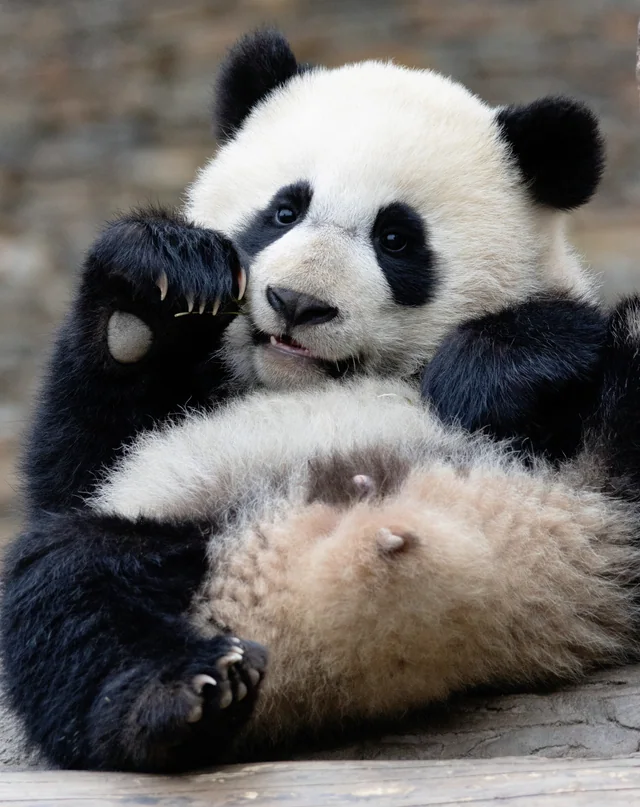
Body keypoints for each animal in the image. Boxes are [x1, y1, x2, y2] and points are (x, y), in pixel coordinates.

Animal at [3, 28, 640, 774]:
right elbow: (75, 467)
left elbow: (559, 332)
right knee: (68, 585)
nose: (297, 303)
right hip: (184, 526)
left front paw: (482, 370)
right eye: (284, 210)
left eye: (396, 238)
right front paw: (156, 286)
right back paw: (181, 697)